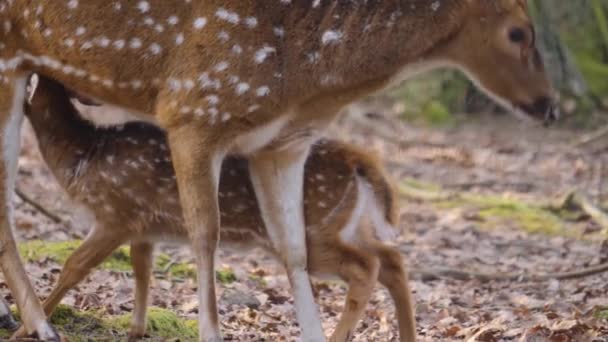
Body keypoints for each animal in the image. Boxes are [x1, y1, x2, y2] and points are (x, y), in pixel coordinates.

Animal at [13, 75, 414, 342]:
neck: (85, 155)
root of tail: (360, 160)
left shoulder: (118, 212)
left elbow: (74, 266)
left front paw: (28, 328)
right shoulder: (146, 228)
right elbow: (143, 272)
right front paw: (135, 331)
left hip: (314, 230)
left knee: (368, 265)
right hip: (348, 223)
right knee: (391, 258)